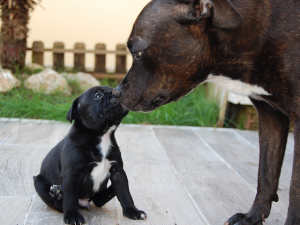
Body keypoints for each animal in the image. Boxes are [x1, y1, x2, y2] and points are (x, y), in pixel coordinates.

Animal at [33, 86, 146, 225]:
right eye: (98, 95)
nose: (116, 91)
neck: (102, 136)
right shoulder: (72, 174)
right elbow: (70, 198)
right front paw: (73, 216)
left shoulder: (117, 172)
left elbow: (125, 193)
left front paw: (132, 211)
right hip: (38, 182)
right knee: (58, 204)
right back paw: (57, 194)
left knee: (100, 199)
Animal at [112, 0, 300, 225]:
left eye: (138, 53)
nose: (116, 92)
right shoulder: (270, 116)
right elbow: (266, 175)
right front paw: (252, 216)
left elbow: (295, 190)